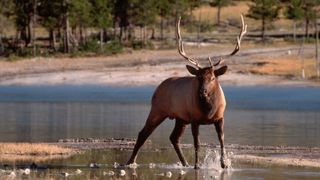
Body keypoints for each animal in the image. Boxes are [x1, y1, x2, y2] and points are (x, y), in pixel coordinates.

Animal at [126, 14, 246, 168]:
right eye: (198, 77)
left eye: (213, 78)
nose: (202, 91)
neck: (209, 110)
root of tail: (157, 88)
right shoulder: (194, 119)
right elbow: (197, 144)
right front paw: (197, 165)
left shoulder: (219, 118)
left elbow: (222, 141)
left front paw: (224, 164)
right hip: (157, 110)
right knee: (143, 133)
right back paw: (130, 161)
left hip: (180, 118)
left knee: (173, 137)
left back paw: (184, 163)